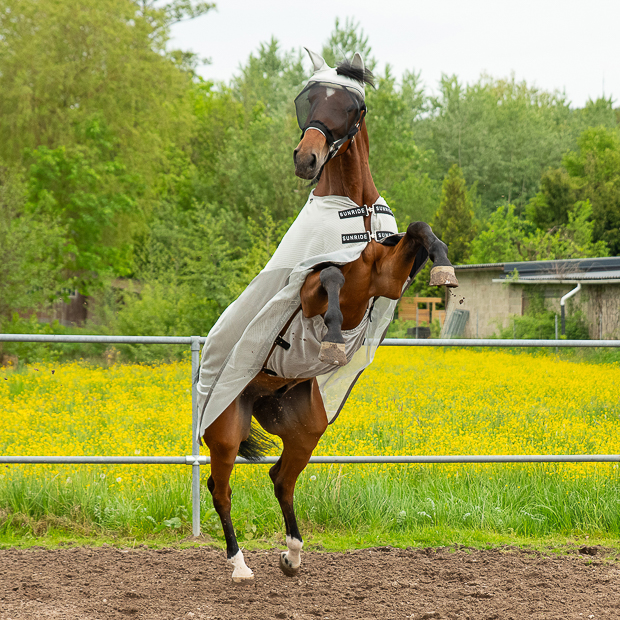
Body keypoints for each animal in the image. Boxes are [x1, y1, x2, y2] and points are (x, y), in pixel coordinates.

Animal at [196, 48, 458, 580]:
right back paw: (239, 565)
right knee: (221, 488)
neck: (355, 214)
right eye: (308, 99)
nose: (306, 158)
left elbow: (420, 229)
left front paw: (444, 269)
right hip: (225, 430)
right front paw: (335, 337)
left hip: (305, 429)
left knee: (281, 477)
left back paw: (293, 554)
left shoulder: (388, 278)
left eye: (351, 106)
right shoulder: (314, 288)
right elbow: (332, 277)